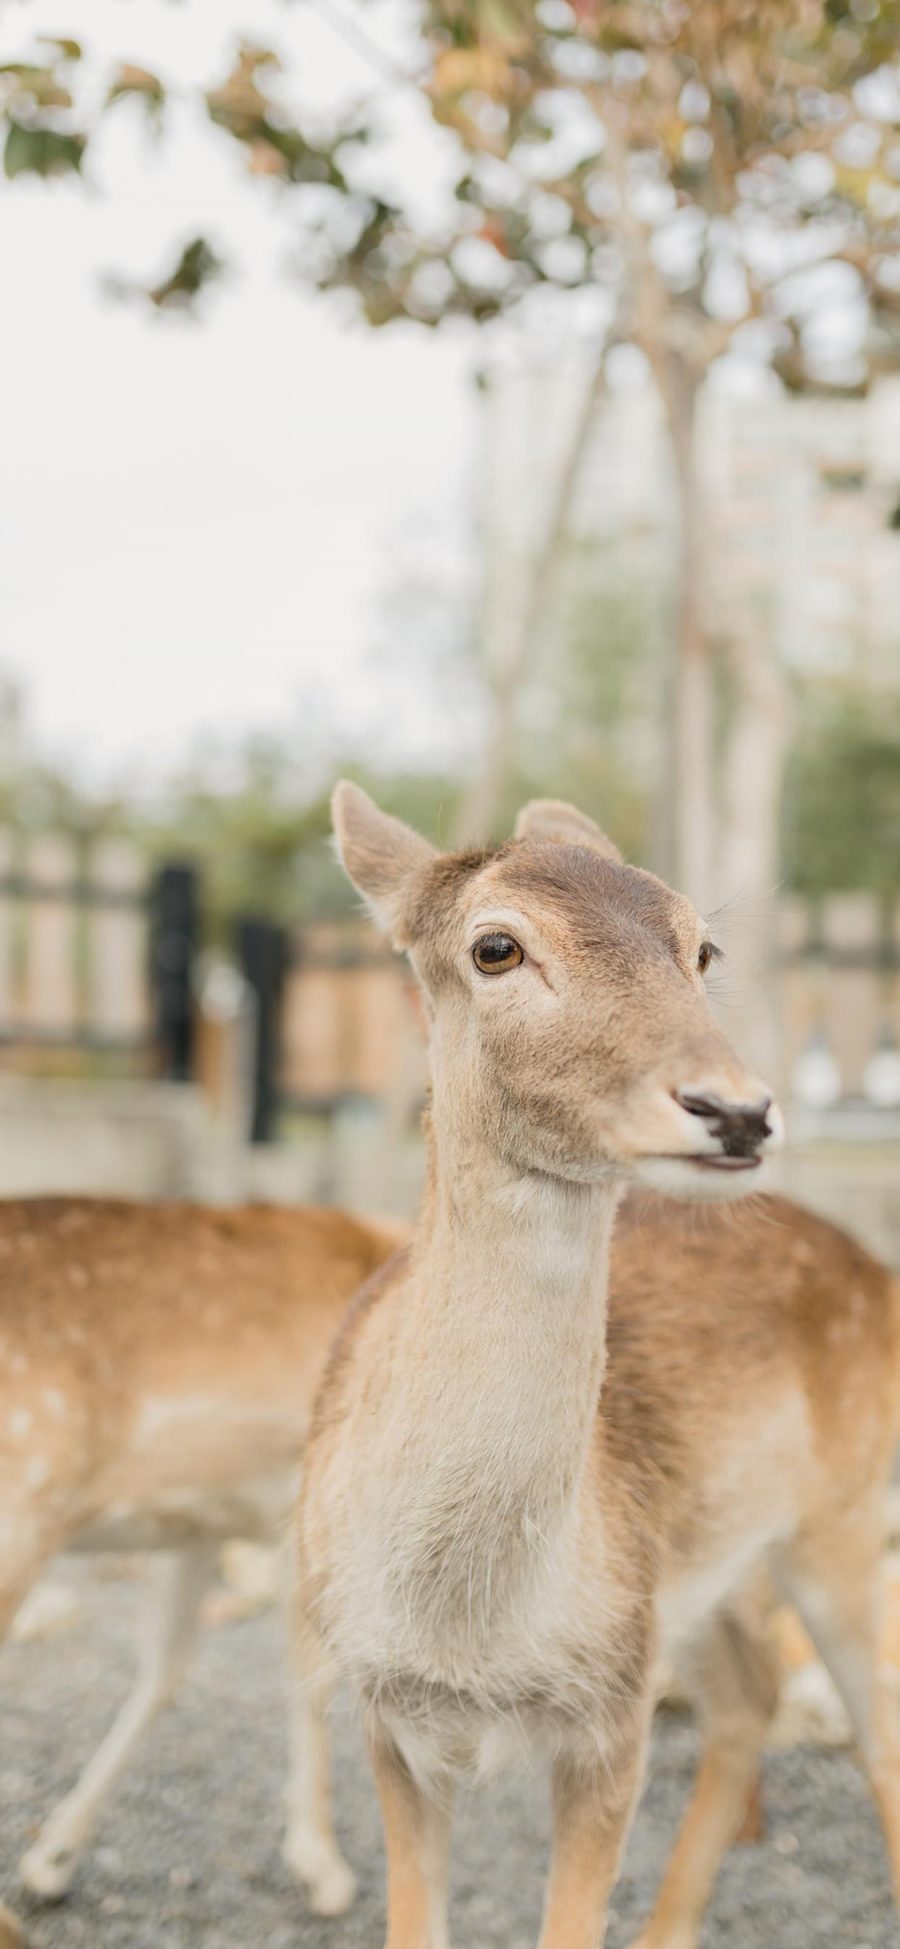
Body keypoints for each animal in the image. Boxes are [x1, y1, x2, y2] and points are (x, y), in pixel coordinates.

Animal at [298, 783, 900, 1949]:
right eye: (495, 945)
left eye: (701, 946)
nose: (738, 1109)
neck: (470, 1628)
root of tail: (873, 1265)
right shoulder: (384, 1711)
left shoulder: (613, 1705)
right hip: (707, 1576)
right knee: (751, 1694)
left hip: (841, 1522)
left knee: (876, 1727)